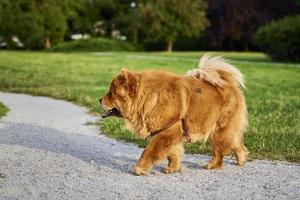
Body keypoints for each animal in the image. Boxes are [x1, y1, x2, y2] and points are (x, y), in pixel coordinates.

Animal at [101, 53, 248, 175]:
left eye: (110, 94)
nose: (99, 100)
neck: (149, 99)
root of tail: (229, 83)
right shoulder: (170, 133)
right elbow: (173, 153)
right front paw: (172, 168)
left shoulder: (167, 132)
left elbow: (149, 151)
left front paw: (140, 168)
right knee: (236, 143)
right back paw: (242, 159)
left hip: (218, 129)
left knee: (220, 151)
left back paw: (213, 165)